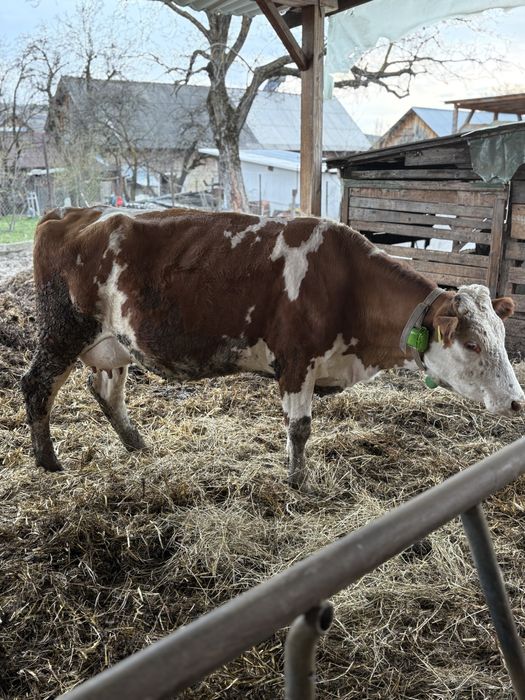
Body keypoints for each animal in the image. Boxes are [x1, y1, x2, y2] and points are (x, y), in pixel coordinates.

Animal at [22, 206, 524, 490]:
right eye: (472, 343)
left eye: (500, 337)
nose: (517, 401)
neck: (347, 283)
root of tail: (70, 213)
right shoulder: (297, 359)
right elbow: (299, 428)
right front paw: (299, 483)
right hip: (63, 330)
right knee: (36, 386)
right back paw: (49, 464)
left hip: (114, 343)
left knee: (107, 392)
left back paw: (138, 447)